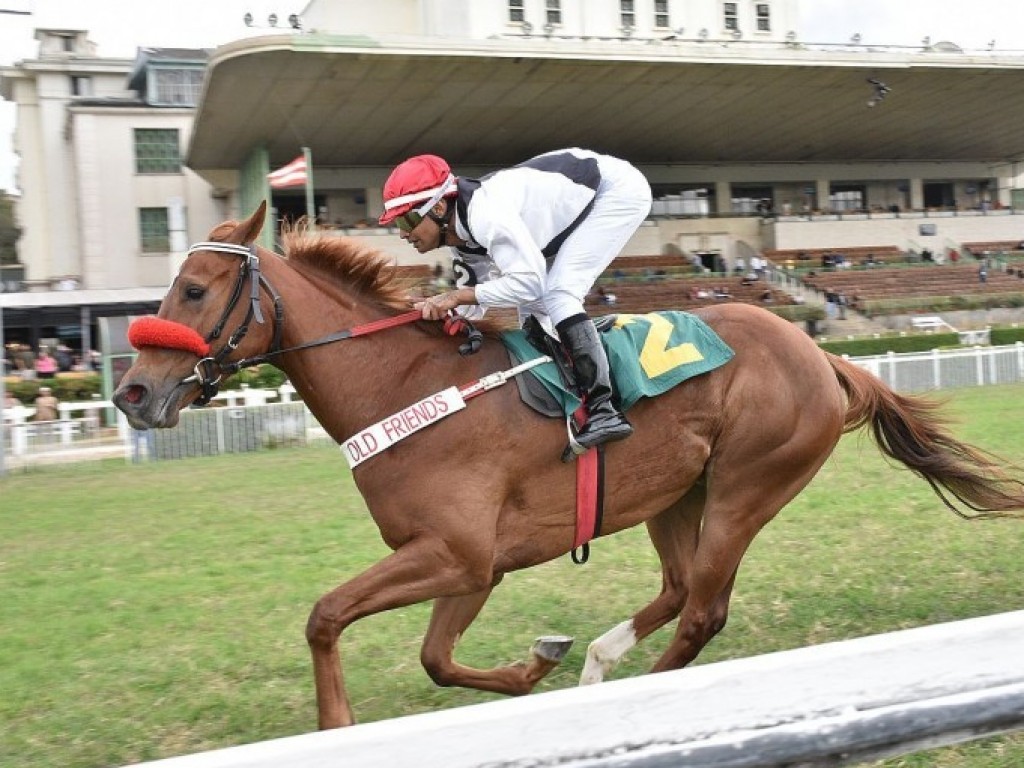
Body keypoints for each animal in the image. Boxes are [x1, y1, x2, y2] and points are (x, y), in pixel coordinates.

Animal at [112, 201, 1024, 729]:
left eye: (193, 290)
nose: (130, 392)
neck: (406, 385)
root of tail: (823, 355)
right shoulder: (472, 565)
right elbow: (435, 659)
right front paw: (534, 666)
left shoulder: (457, 554)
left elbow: (326, 616)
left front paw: (337, 729)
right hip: (676, 493)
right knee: (679, 589)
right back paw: (598, 661)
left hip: (747, 486)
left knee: (703, 610)